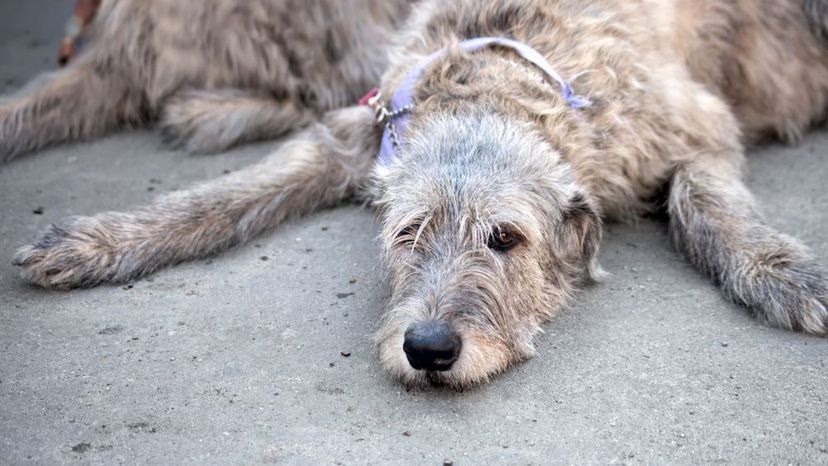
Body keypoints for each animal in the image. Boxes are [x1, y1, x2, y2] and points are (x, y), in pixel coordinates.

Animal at [1, 0, 828, 388]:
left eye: (505, 238)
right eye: (408, 233)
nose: (429, 349)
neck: (507, 73)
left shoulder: (693, 126)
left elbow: (703, 197)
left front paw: (784, 274)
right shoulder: (358, 132)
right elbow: (232, 195)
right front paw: (102, 240)